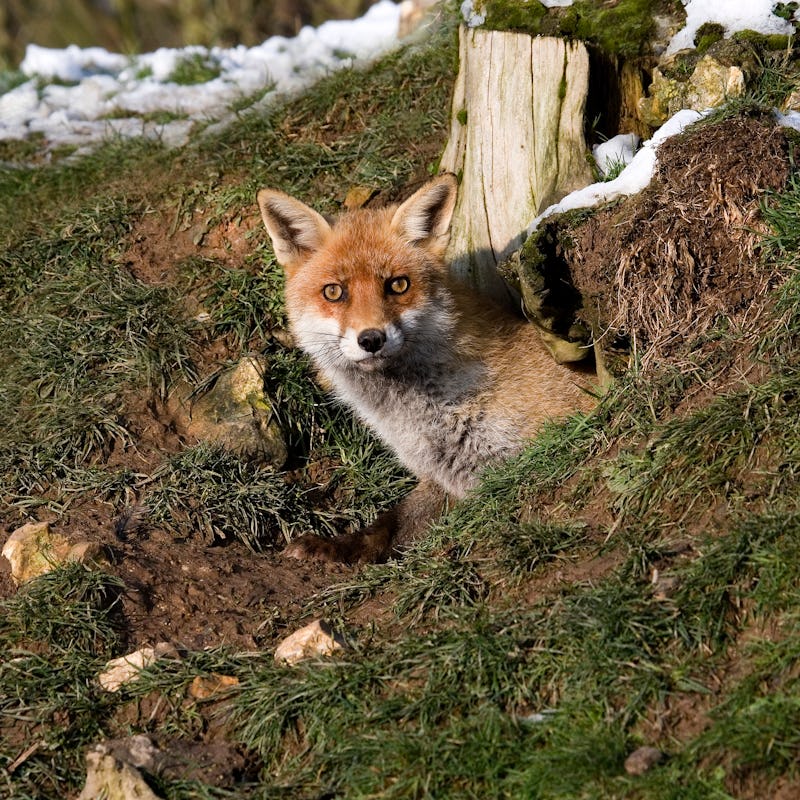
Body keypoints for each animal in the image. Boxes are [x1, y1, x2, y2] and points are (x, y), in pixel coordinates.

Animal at [256, 175, 592, 564]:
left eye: (398, 285)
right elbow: (388, 526)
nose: (371, 339)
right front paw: (335, 549)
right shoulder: (442, 480)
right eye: (334, 292)